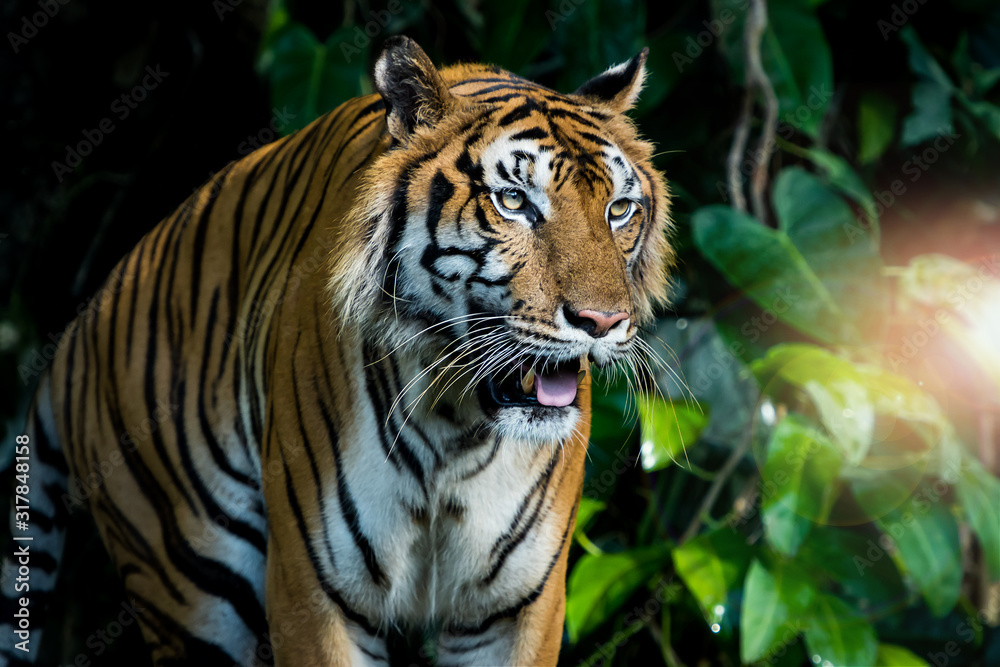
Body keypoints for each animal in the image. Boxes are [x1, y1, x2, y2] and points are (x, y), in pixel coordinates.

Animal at [0, 36, 672, 666]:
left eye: (619, 210)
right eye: (513, 202)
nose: (603, 321)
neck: (455, 421)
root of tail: (84, 321)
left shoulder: (518, 607)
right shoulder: (315, 591)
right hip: (188, 583)